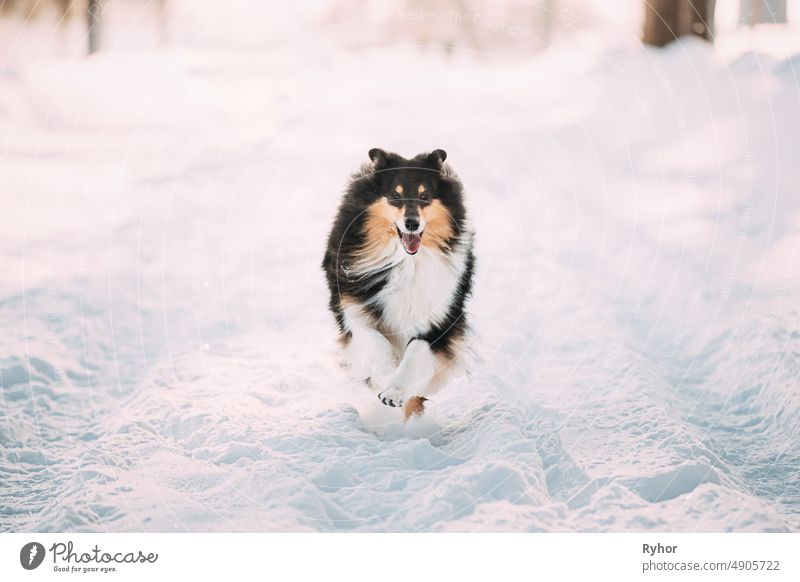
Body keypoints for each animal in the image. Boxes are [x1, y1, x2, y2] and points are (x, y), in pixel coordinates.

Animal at [322, 149, 476, 424]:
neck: (407, 262)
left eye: (425, 196)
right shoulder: (351, 305)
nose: (412, 223)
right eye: (395, 195)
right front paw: (385, 370)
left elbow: (416, 350)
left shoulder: (441, 321)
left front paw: (395, 391)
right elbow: (372, 338)